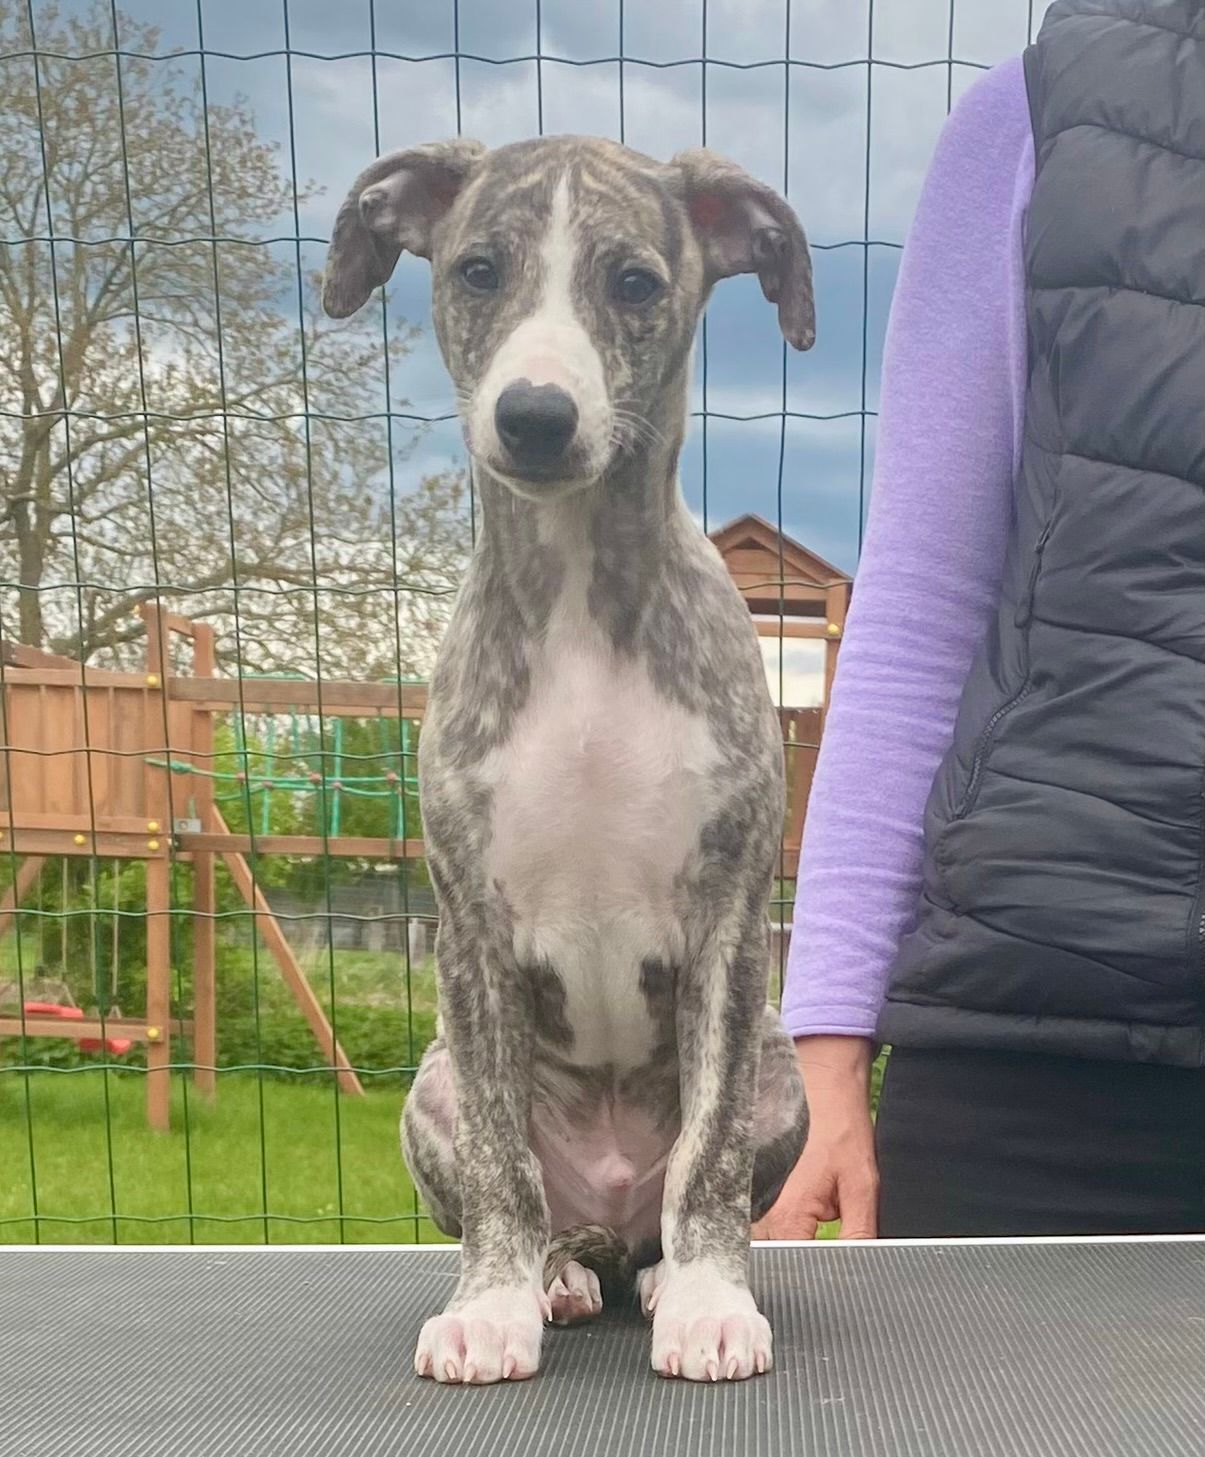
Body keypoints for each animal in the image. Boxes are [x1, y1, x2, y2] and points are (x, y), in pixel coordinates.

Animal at [323, 135, 811, 1385]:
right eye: (477, 270)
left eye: (634, 282)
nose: (535, 416)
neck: (583, 596)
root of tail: (605, 1213)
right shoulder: (469, 926)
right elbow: (502, 1162)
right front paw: (489, 1306)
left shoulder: (728, 919)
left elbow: (706, 1152)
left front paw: (709, 1298)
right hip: (431, 1085)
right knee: (537, 1201)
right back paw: (549, 1273)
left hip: (775, 1069)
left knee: (671, 1196)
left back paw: (658, 1275)